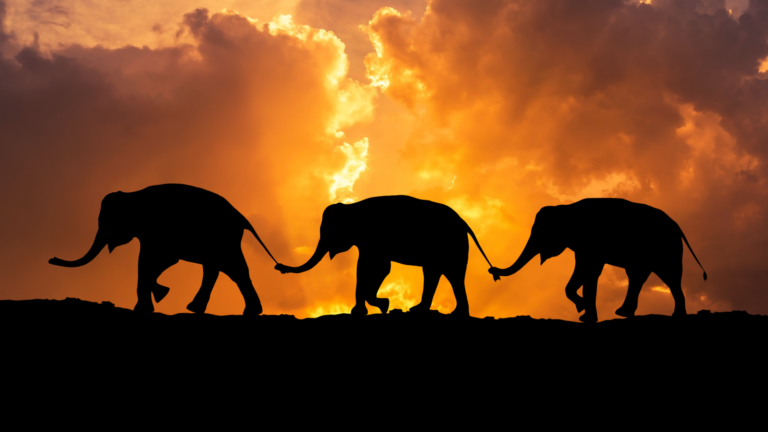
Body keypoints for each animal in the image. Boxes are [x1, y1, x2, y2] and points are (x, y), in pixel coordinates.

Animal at [48, 182, 278, 314]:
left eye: (106, 221)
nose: (52, 259)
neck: (133, 195)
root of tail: (242, 217)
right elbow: (156, 261)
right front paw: (160, 295)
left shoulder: (157, 231)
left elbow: (154, 261)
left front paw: (154, 299)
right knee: (220, 268)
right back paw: (201, 309)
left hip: (223, 238)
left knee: (231, 269)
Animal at [272, 197, 496, 316]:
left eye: (328, 231)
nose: (279, 267)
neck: (353, 207)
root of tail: (463, 222)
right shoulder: (369, 242)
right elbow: (374, 268)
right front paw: (377, 307)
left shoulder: (373, 238)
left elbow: (375, 268)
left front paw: (379, 307)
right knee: (446, 274)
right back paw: (435, 312)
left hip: (451, 244)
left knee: (447, 273)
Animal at [488, 197, 704, 322]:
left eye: (542, 231)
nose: (492, 271)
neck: (567, 208)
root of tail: (676, 225)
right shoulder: (582, 246)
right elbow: (582, 271)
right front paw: (583, 310)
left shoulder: (592, 242)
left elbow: (590, 272)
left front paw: (583, 311)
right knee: (640, 276)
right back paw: (625, 313)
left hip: (665, 249)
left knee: (669, 276)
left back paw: (674, 316)